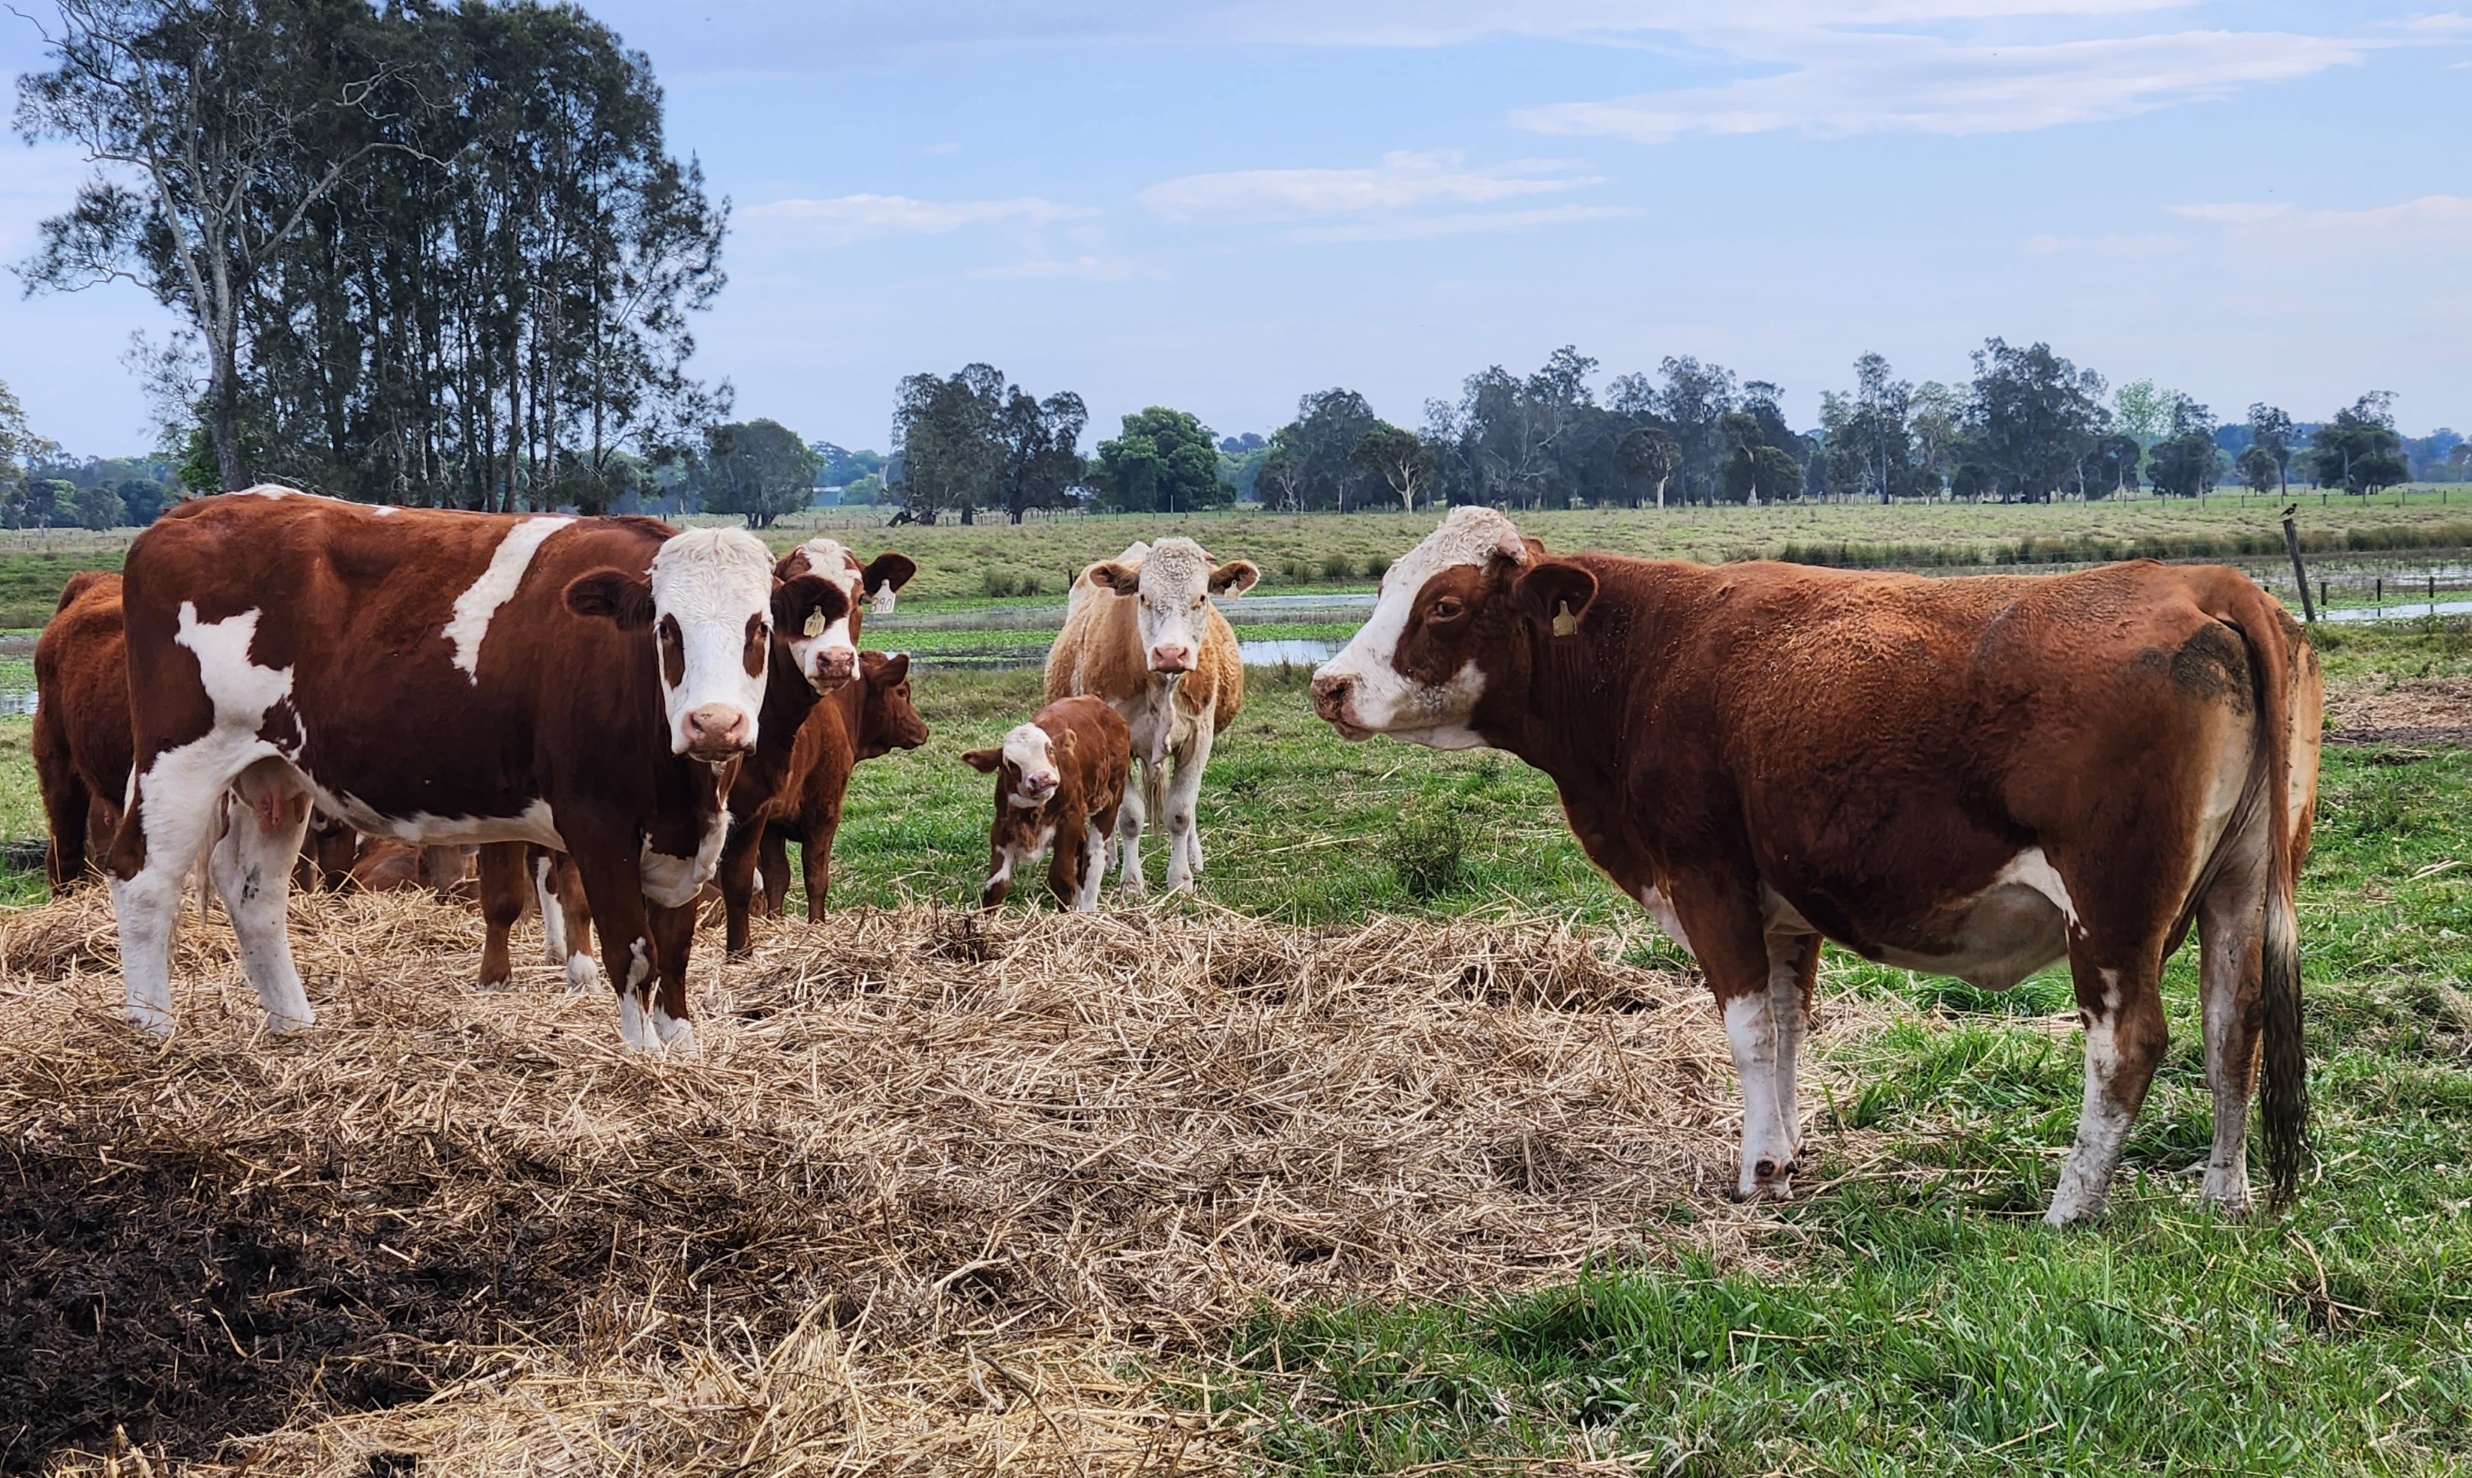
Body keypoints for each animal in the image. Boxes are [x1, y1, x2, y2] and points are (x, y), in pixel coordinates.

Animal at [107, 488, 851, 1053]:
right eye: (666, 629)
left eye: (759, 627)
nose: (714, 723)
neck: (684, 785)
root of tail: (186, 514)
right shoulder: (599, 825)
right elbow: (632, 951)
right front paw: (644, 1060)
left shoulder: (687, 837)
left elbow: (674, 954)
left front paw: (684, 1051)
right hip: (179, 759)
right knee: (143, 881)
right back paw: (153, 1034)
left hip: (275, 774)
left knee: (253, 892)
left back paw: (294, 1025)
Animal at [961, 695, 1130, 911]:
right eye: (1010, 763)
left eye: (1050, 750)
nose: (1041, 778)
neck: (1033, 812)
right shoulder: (1001, 825)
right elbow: (996, 884)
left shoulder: (1070, 818)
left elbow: (1061, 878)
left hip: (1111, 798)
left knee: (1094, 853)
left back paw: (1088, 909)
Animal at [1044, 538, 1257, 893]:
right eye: (1143, 596)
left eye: (1202, 597)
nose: (1170, 653)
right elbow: (1129, 817)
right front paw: (1132, 882)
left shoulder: (1199, 737)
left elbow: (1181, 812)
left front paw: (1181, 879)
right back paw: (1108, 858)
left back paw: (1194, 858)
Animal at [1310, 506, 2321, 1225]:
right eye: (1388, 584)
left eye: (1444, 605)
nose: (1328, 684)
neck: (1646, 657)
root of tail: (2201, 580)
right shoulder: (1783, 907)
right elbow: (1791, 1027)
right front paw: (1791, 1152)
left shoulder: (1707, 877)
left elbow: (1750, 1031)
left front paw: (1759, 1171)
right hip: (2241, 886)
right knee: (2234, 1026)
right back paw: (2222, 1197)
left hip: (2111, 907)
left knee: (2131, 1043)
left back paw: (2069, 1210)